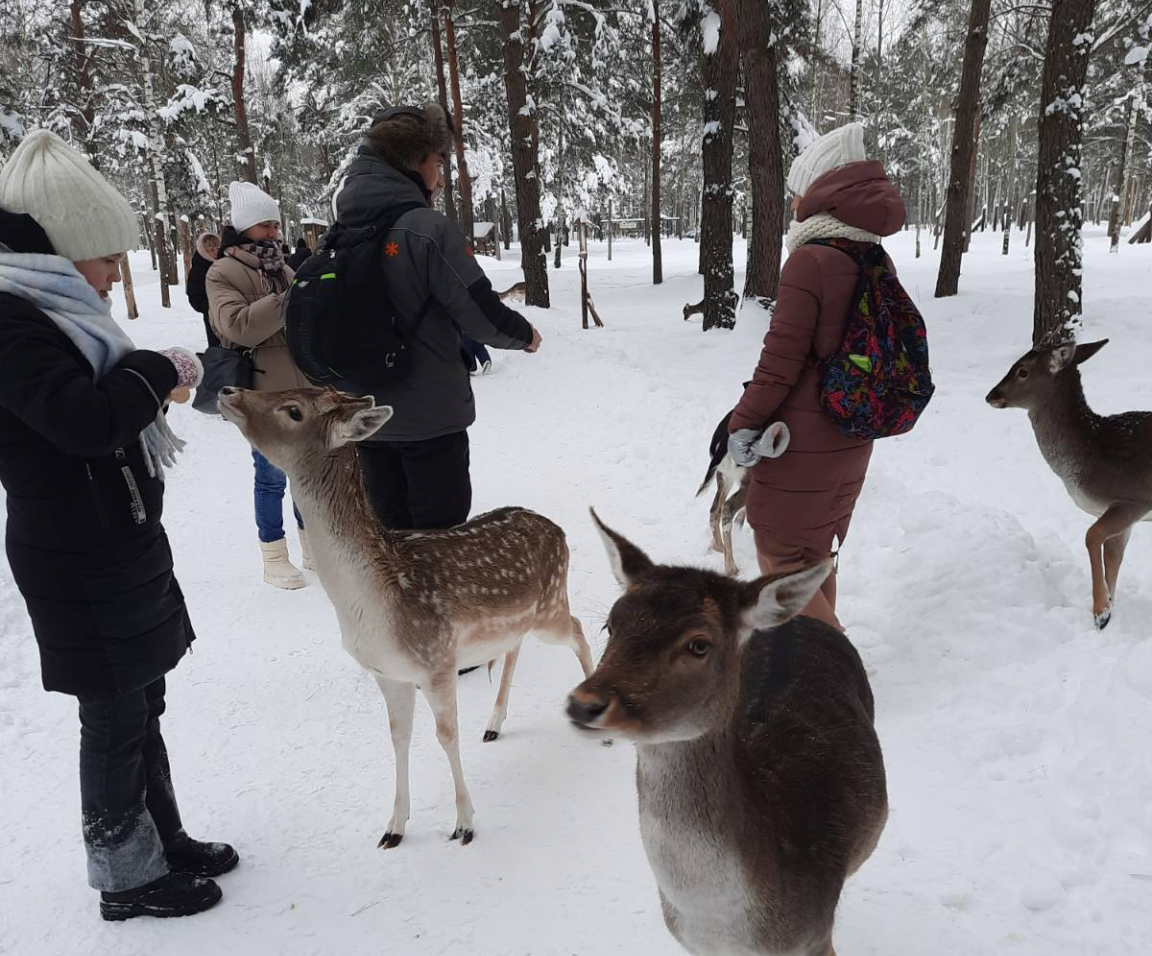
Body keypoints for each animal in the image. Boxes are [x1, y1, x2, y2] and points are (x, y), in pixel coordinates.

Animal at [217, 384, 594, 847]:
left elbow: (446, 735)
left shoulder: (437, 662)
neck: (373, 609)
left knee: (579, 630)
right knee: (515, 648)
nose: (230, 391)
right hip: (522, 620)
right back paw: (494, 723)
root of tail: (557, 529)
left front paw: (464, 824)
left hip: (552, 607)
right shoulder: (389, 674)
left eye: (293, 410)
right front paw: (394, 827)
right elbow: (399, 738)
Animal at [986, 340, 1152, 631]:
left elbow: (1091, 536)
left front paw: (1100, 611)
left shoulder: (1133, 498)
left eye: (1022, 371)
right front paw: (1109, 608)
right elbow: (1113, 559)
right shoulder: (1120, 513)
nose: (991, 395)